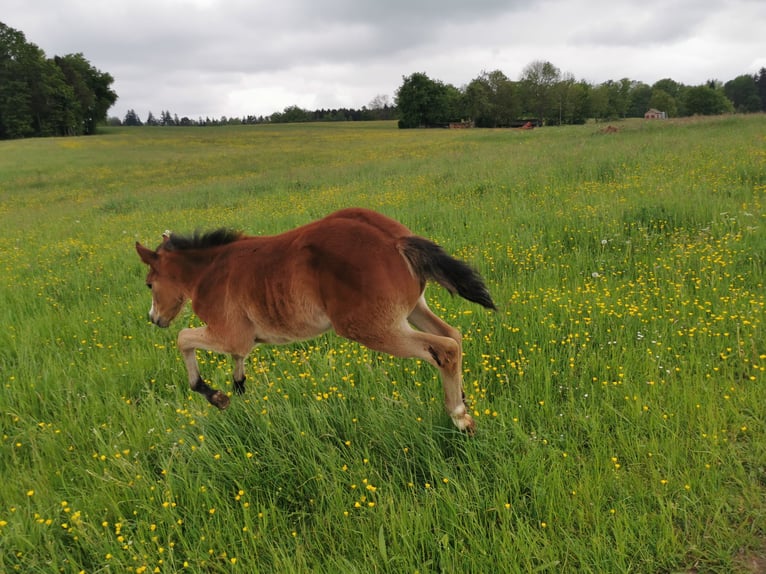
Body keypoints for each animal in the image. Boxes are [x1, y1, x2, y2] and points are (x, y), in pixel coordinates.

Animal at [135, 207, 496, 433]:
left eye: (149, 284)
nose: (155, 319)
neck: (209, 272)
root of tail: (395, 240)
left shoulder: (227, 333)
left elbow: (184, 338)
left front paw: (215, 395)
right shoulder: (239, 339)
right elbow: (239, 357)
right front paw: (238, 386)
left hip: (372, 327)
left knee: (445, 349)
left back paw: (460, 417)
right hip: (412, 310)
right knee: (453, 335)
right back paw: (463, 399)